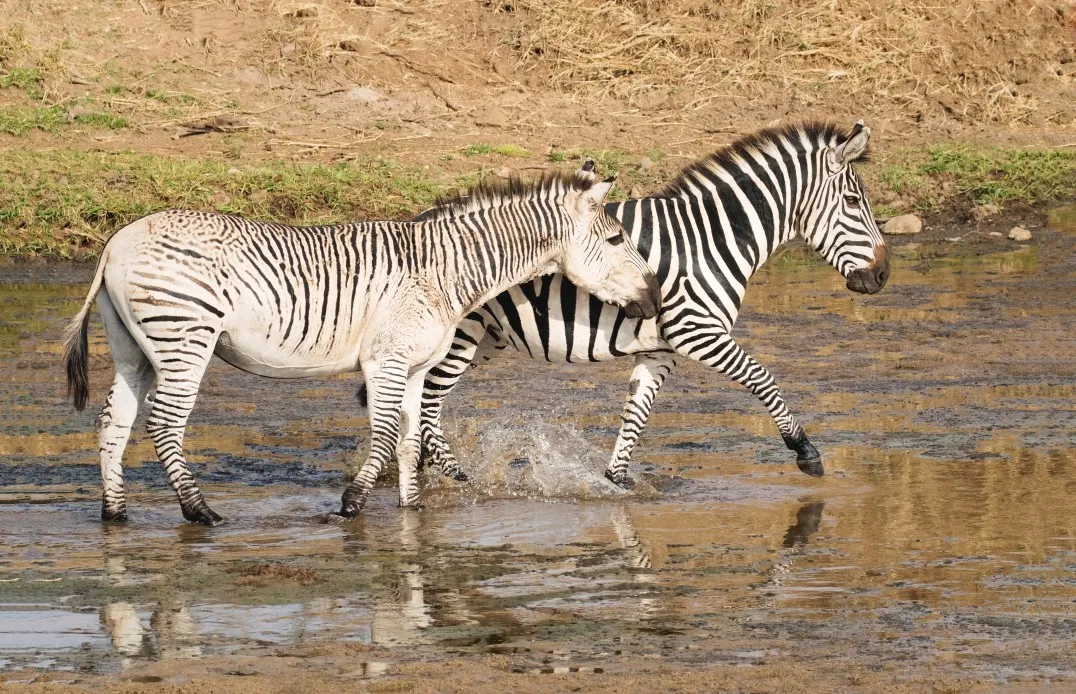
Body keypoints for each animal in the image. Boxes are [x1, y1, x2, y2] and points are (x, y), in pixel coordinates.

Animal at [62, 169, 661, 525]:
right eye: (616, 240)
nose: (655, 298)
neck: (444, 270)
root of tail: (117, 241)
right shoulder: (387, 359)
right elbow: (388, 432)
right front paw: (352, 503)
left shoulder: (416, 366)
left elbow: (411, 436)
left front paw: (411, 508)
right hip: (184, 337)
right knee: (164, 422)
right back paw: (200, 511)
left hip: (135, 348)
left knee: (114, 421)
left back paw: (115, 512)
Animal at [412, 120, 890, 487]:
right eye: (853, 202)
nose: (884, 275)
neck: (711, 240)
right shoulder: (698, 333)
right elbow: (762, 378)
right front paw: (805, 450)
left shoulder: (661, 349)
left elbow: (635, 415)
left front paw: (618, 481)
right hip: (460, 335)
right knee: (427, 403)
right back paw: (449, 474)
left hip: (484, 337)